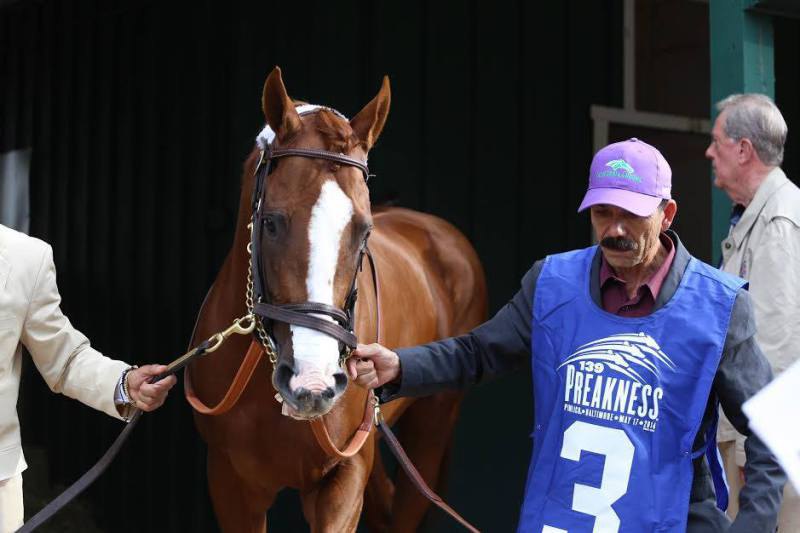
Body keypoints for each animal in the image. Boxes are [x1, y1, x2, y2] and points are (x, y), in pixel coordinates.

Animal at [188, 68, 488, 528]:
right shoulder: (230, 484)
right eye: (270, 222)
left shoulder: (343, 478)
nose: (313, 382)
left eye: (364, 230)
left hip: (432, 422)